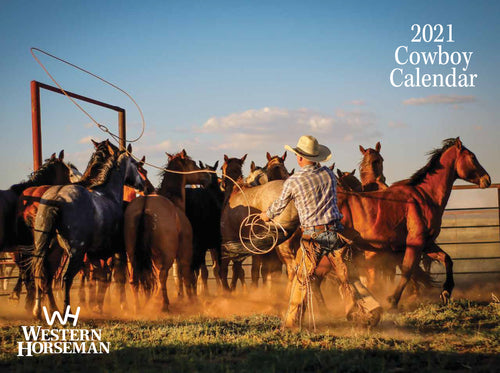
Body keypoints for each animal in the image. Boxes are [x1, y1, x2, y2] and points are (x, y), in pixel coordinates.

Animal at [31, 145, 145, 316]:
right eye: (134, 163)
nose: (142, 185)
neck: (109, 195)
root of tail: (57, 198)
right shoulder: (117, 251)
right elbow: (116, 278)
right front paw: (120, 306)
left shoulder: (94, 255)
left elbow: (100, 278)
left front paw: (97, 305)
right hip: (75, 252)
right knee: (66, 278)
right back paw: (67, 314)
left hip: (51, 251)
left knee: (44, 276)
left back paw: (47, 310)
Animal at [126, 148, 212, 310]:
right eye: (193, 163)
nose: (208, 176)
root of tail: (145, 207)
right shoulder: (184, 251)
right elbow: (186, 274)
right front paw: (192, 300)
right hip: (166, 255)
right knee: (162, 275)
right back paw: (163, 304)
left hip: (132, 255)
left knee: (134, 279)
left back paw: (137, 307)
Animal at [336, 137, 492, 308]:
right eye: (472, 157)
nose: (487, 179)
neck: (425, 196)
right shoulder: (415, 242)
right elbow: (408, 270)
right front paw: (392, 300)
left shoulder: (427, 243)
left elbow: (446, 259)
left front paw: (446, 292)